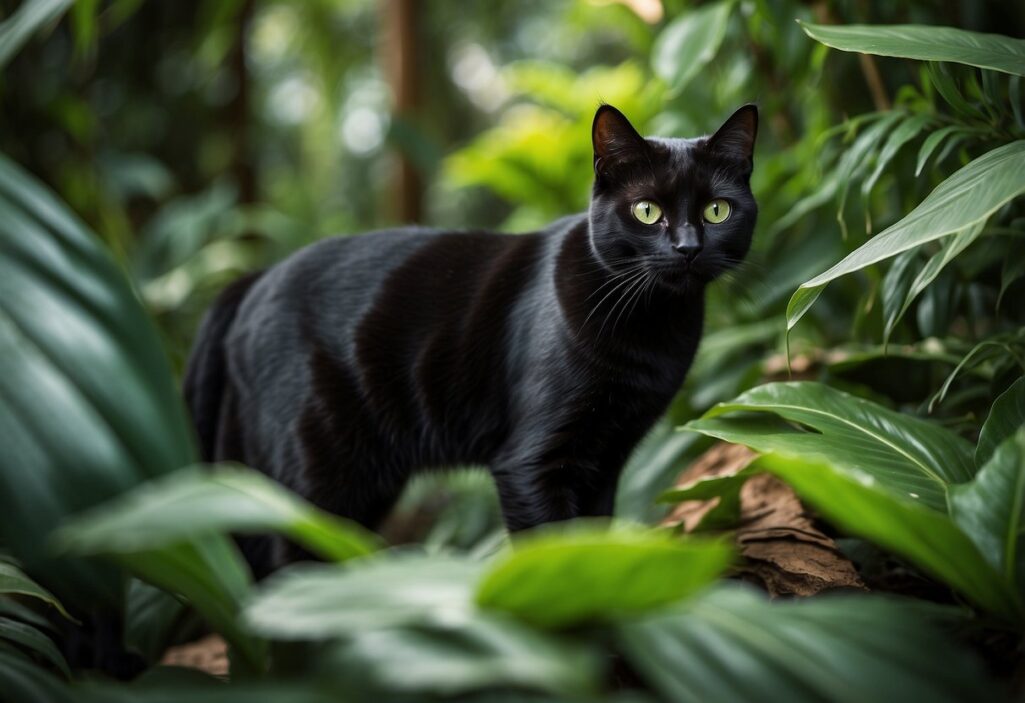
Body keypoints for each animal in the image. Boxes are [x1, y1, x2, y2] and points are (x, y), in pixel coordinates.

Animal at [184, 101, 758, 569]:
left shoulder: (604, 459)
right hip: (315, 475)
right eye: (646, 211)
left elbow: (592, 538)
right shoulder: (531, 463)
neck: (650, 328)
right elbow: (551, 548)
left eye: (716, 210)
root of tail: (254, 278)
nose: (687, 248)